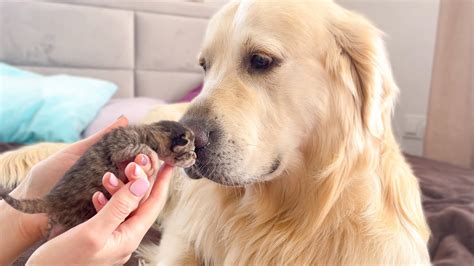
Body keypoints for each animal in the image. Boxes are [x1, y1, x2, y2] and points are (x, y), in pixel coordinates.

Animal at [0, 120, 195, 237]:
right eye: (190, 152)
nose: (195, 157)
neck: (151, 131)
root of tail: (52, 200)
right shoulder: (122, 147)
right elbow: (144, 149)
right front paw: (153, 159)